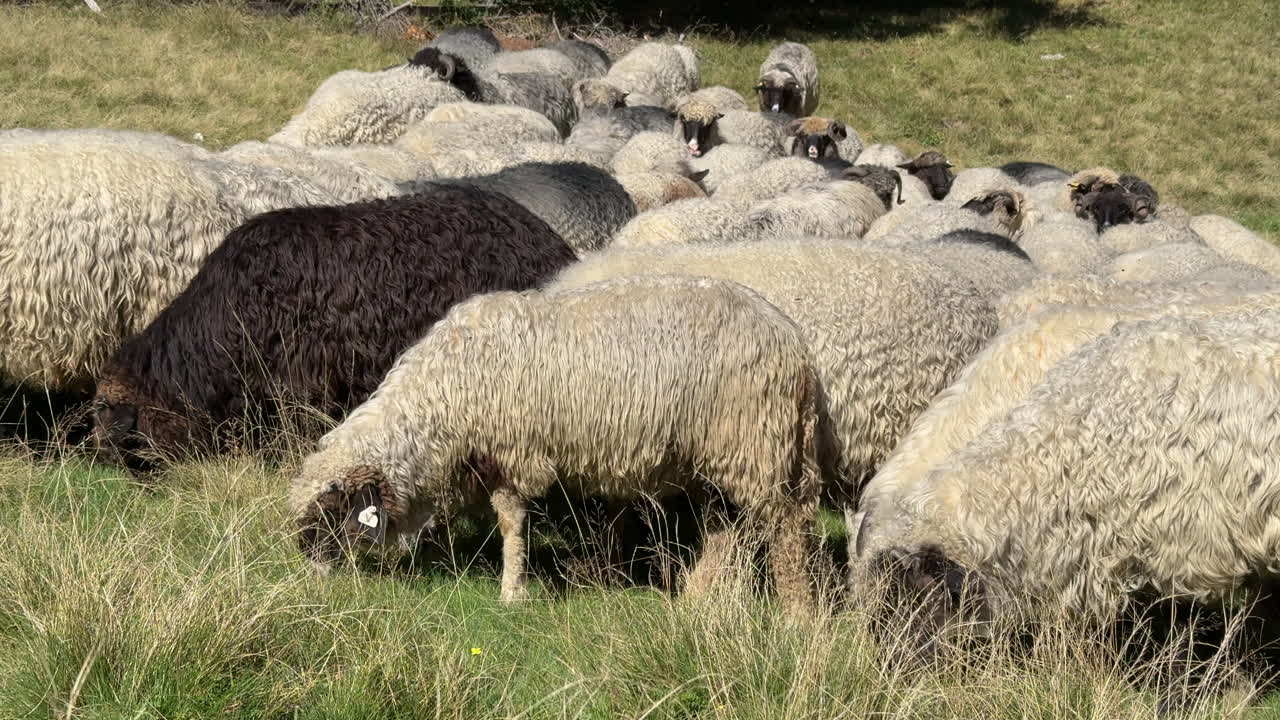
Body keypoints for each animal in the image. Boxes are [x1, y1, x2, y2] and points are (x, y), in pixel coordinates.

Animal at [289, 273, 822, 613]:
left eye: (330, 512)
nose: (309, 576)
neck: (441, 395)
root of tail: (792, 341)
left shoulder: (511, 450)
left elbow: (511, 524)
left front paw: (512, 591)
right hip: (719, 453)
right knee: (725, 528)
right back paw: (697, 597)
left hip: (755, 441)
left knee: (785, 528)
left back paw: (796, 613)